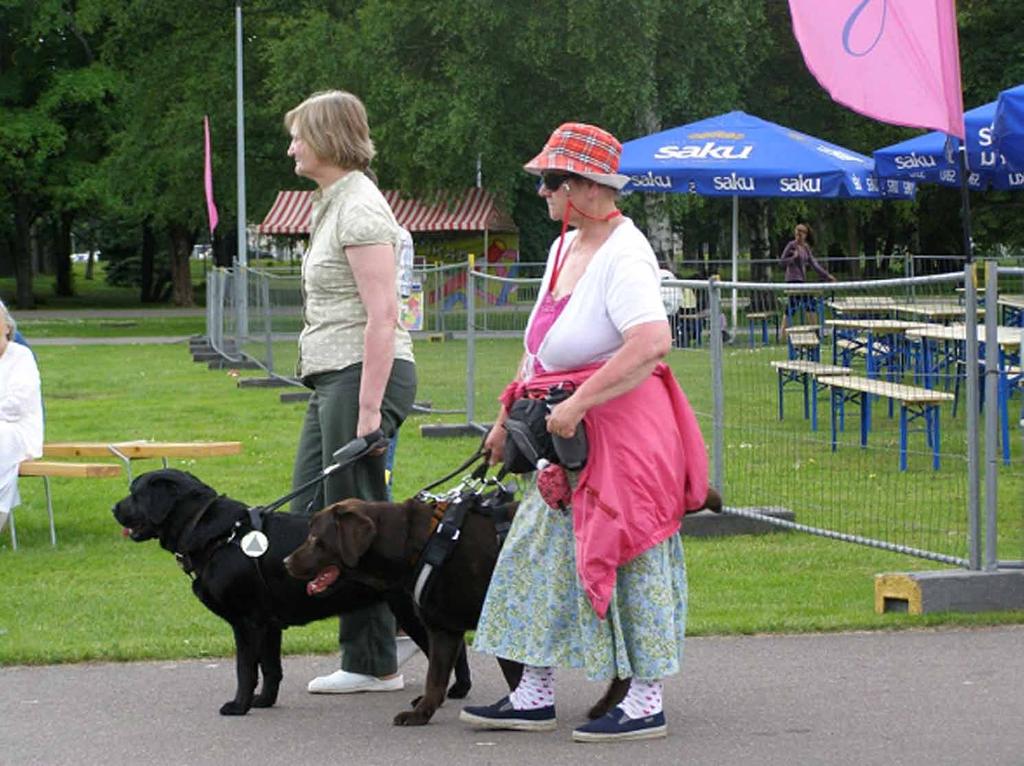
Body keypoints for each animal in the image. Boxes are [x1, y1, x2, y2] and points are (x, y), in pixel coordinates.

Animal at [109, 469, 471, 716]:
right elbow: (271, 668)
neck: (222, 536)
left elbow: (245, 669)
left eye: (135, 493)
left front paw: (239, 706)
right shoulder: (269, 624)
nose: (114, 508)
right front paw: (264, 702)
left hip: (411, 610)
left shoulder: (247, 622)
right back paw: (458, 690)